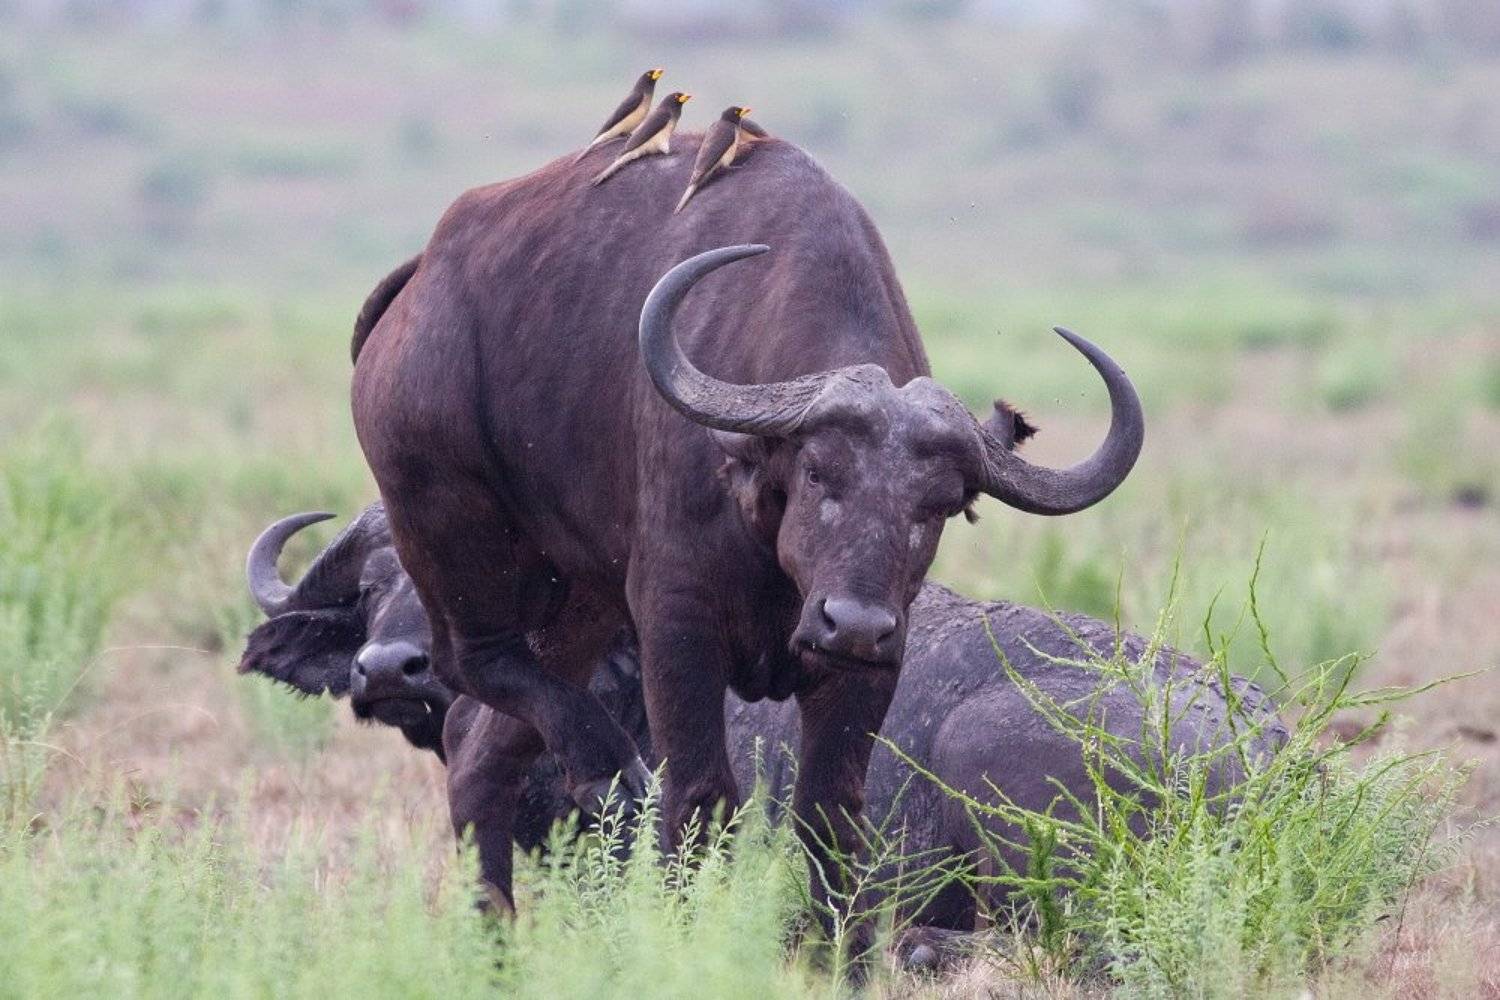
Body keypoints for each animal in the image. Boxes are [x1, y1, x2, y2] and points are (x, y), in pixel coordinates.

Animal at [347, 135, 1145, 921]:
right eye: (818, 471)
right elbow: (701, 798)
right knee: (473, 663)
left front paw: (838, 948)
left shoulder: (870, 663)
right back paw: (600, 761)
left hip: (575, 597)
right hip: (451, 530)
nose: (854, 623)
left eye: (942, 503)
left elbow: (831, 812)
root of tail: (416, 290)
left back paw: (495, 934)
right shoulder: (676, 625)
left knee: (477, 745)